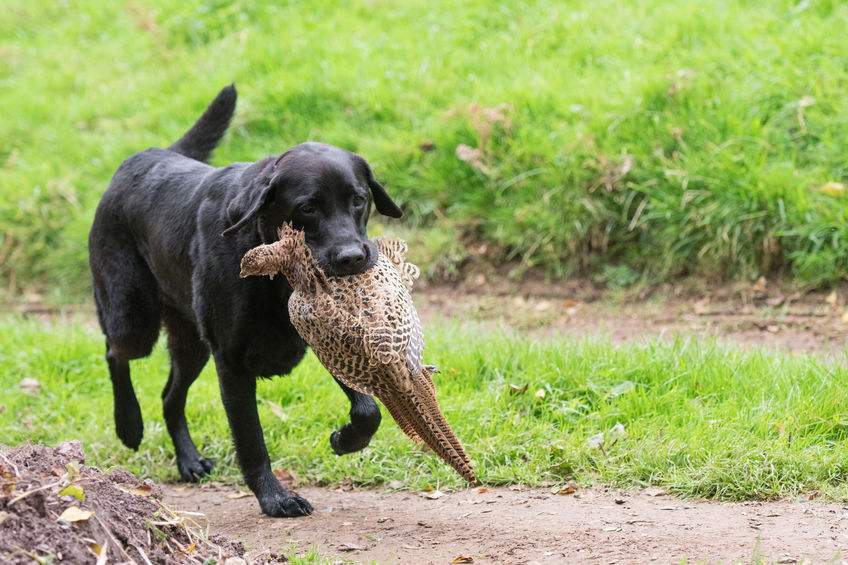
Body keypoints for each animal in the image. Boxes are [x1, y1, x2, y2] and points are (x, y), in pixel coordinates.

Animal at [88, 85, 402, 516]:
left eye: (358, 200)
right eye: (307, 207)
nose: (353, 258)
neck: (275, 273)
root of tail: (146, 154)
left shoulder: (329, 333)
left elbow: (369, 410)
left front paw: (345, 439)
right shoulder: (232, 362)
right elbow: (252, 441)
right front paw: (276, 499)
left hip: (191, 344)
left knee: (169, 395)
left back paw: (189, 461)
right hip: (134, 318)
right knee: (114, 353)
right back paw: (129, 425)